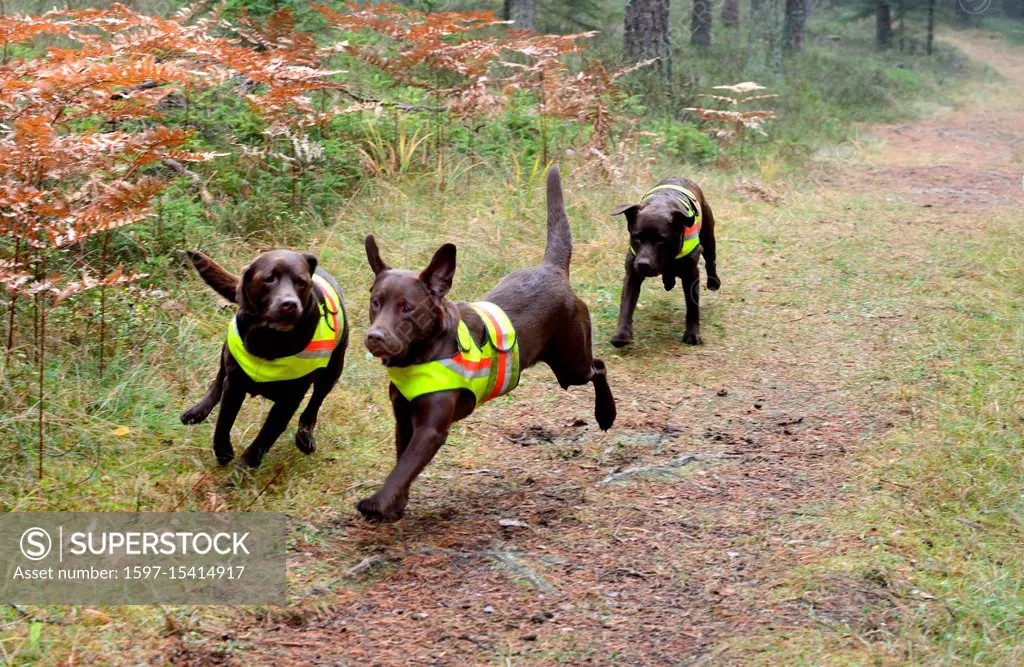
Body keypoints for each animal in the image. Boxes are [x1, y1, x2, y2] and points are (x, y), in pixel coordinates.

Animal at [180, 249, 348, 469]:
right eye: (269, 278)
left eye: (301, 282)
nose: (290, 304)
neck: (269, 340)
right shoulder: (235, 385)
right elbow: (223, 422)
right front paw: (223, 451)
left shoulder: (288, 402)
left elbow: (262, 440)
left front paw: (240, 472)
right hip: (228, 351)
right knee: (218, 379)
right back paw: (198, 410)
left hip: (333, 370)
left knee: (315, 403)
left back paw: (305, 436)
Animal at [360, 165, 614, 522]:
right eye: (375, 302)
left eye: (407, 307)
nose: (375, 337)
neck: (422, 354)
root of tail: (552, 268)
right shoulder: (403, 417)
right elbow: (402, 463)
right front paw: (395, 506)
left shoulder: (431, 428)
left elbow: (404, 466)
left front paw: (377, 503)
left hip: (571, 363)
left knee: (599, 366)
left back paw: (606, 414)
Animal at [606, 177, 720, 346]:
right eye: (636, 237)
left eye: (661, 240)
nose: (643, 264)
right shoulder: (632, 274)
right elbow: (626, 305)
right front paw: (621, 335)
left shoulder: (691, 274)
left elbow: (692, 308)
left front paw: (692, 334)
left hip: (708, 236)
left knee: (711, 260)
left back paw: (713, 282)